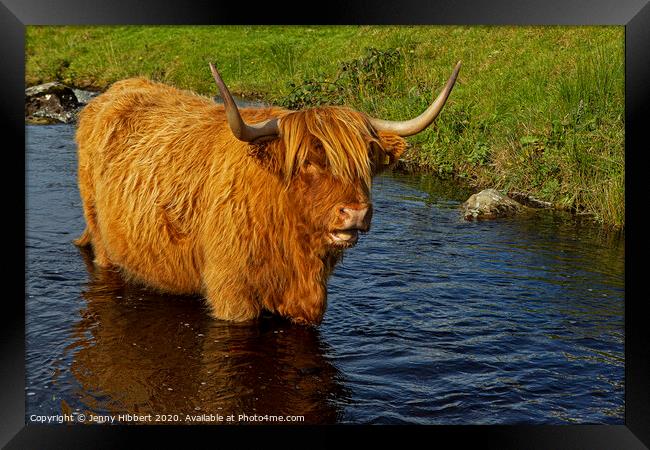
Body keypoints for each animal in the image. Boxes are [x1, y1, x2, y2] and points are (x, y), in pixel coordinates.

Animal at [74, 61, 460, 326]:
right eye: (308, 162)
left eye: (365, 161)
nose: (355, 213)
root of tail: (116, 89)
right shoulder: (231, 294)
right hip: (101, 236)